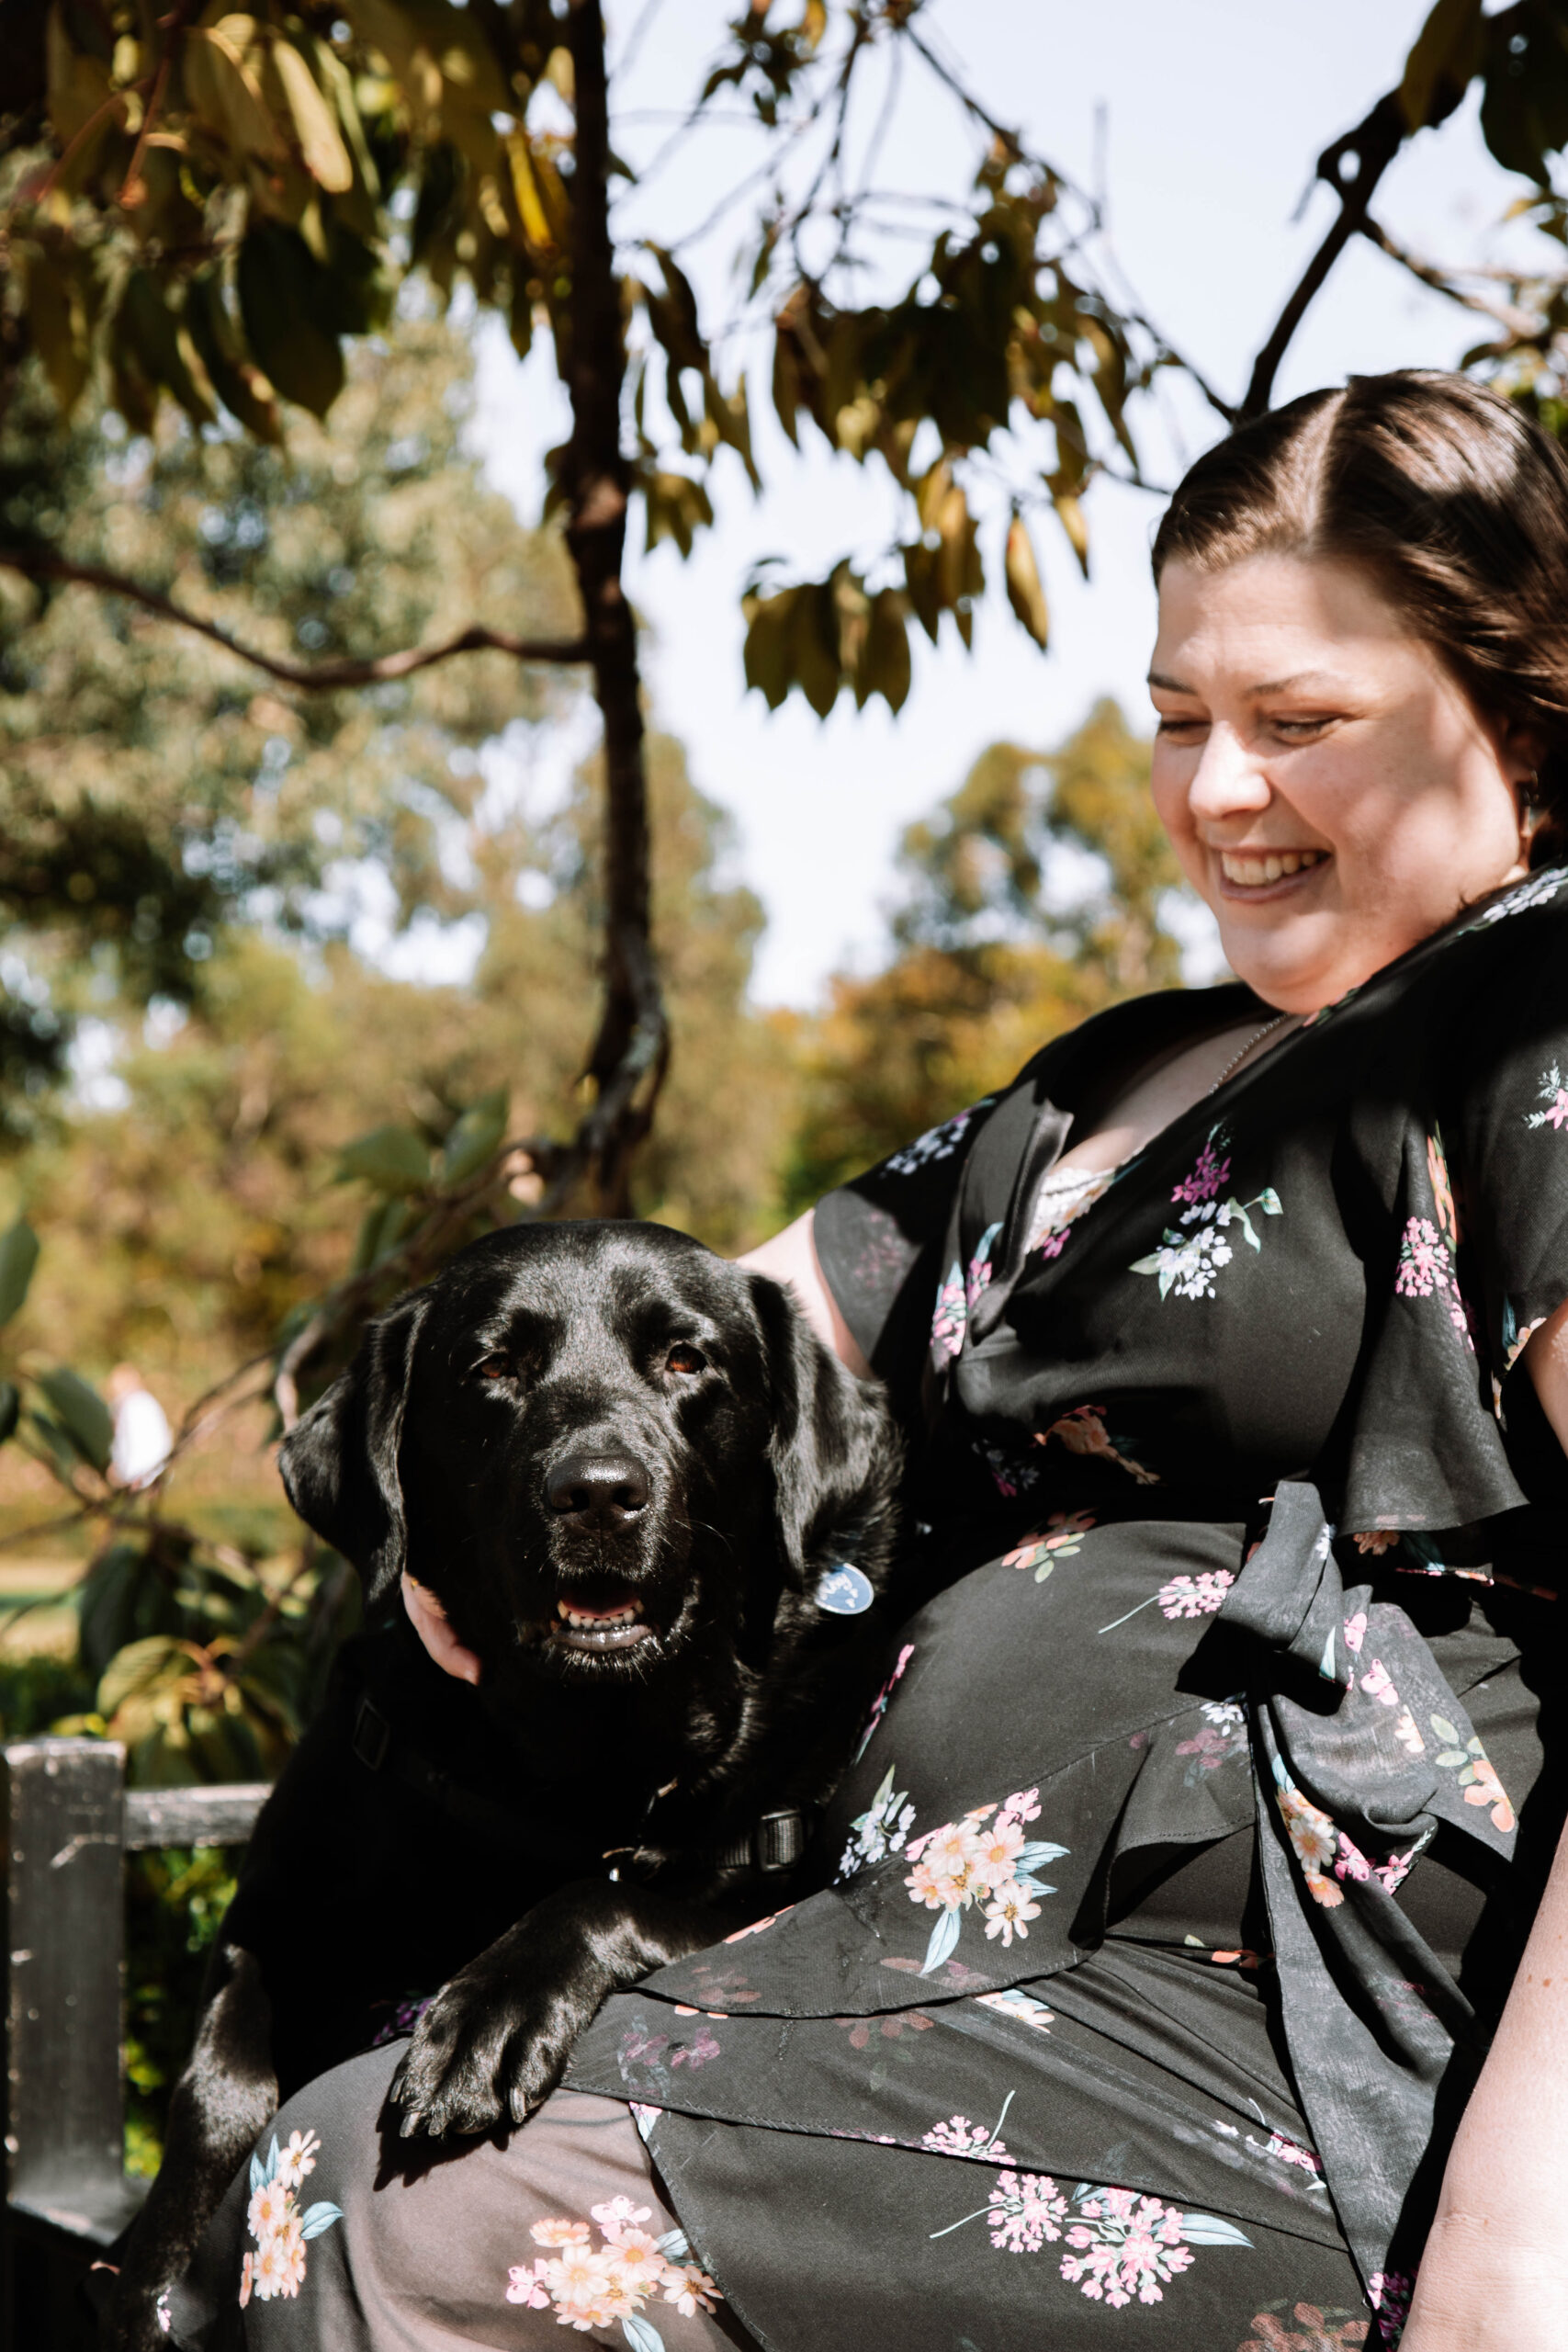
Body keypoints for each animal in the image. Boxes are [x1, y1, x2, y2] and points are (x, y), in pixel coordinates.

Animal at [107, 1223, 893, 2342]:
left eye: (685, 1359)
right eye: (493, 1368)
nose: (598, 1490)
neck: (568, 1757)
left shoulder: (770, 1887)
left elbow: (600, 1894)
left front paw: (488, 2020)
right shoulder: (272, 1907)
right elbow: (221, 2080)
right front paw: (156, 2265)